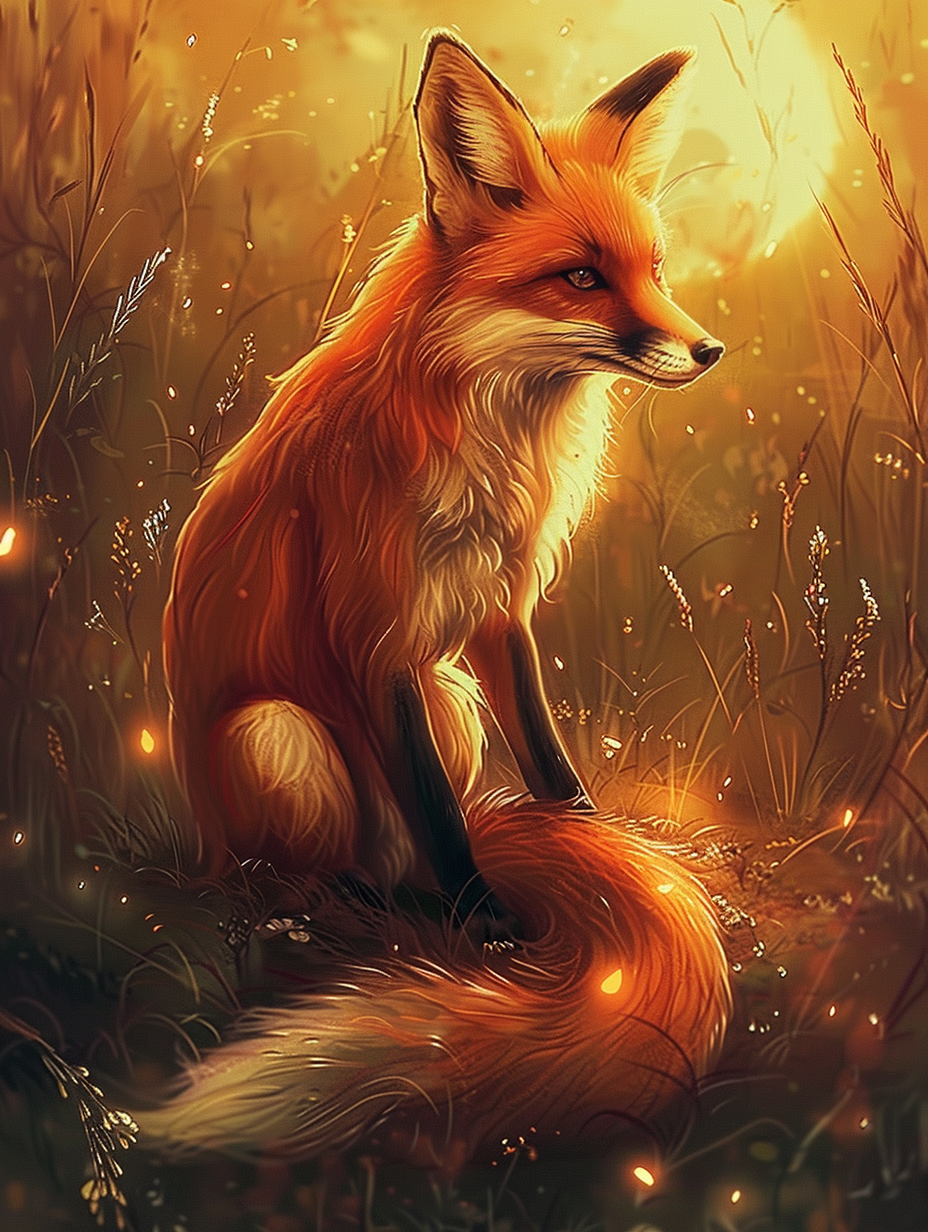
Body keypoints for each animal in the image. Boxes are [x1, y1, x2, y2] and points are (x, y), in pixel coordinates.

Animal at [145, 34, 730, 1162]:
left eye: (654, 268)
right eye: (580, 276)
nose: (709, 350)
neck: (495, 436)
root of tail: (196, 841)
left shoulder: (500, 617)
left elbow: (548, 764)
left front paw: (596, 845)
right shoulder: (374, 640)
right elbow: (440, 814)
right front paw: (487, 922)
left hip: (450, 695)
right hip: (279, 732)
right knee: (305, 872)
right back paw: (360, 898)